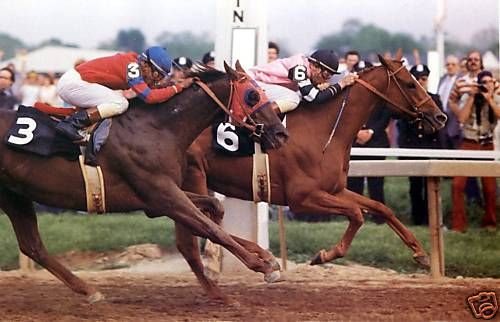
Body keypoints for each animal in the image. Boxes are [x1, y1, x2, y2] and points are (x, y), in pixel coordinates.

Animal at [0, 62, 288, 302]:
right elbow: (210, 228)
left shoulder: (158, 198)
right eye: (253, 95)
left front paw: (267, 258)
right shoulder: (162, 195)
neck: (157, 128)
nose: (280, 134)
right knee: (33, 246)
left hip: (15, 194)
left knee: (33, 246)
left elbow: (213, 210)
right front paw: (262, 266)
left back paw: (90, 291)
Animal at [179, 54, 446, 300]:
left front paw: (420, 252)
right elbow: (357, 214)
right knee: (199, 229)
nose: (440, 117)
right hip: (194, 176)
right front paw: (323, 255)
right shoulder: (303, 198)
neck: (325, 130)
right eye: (409, 84)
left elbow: (380, 208)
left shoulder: (335, 190)